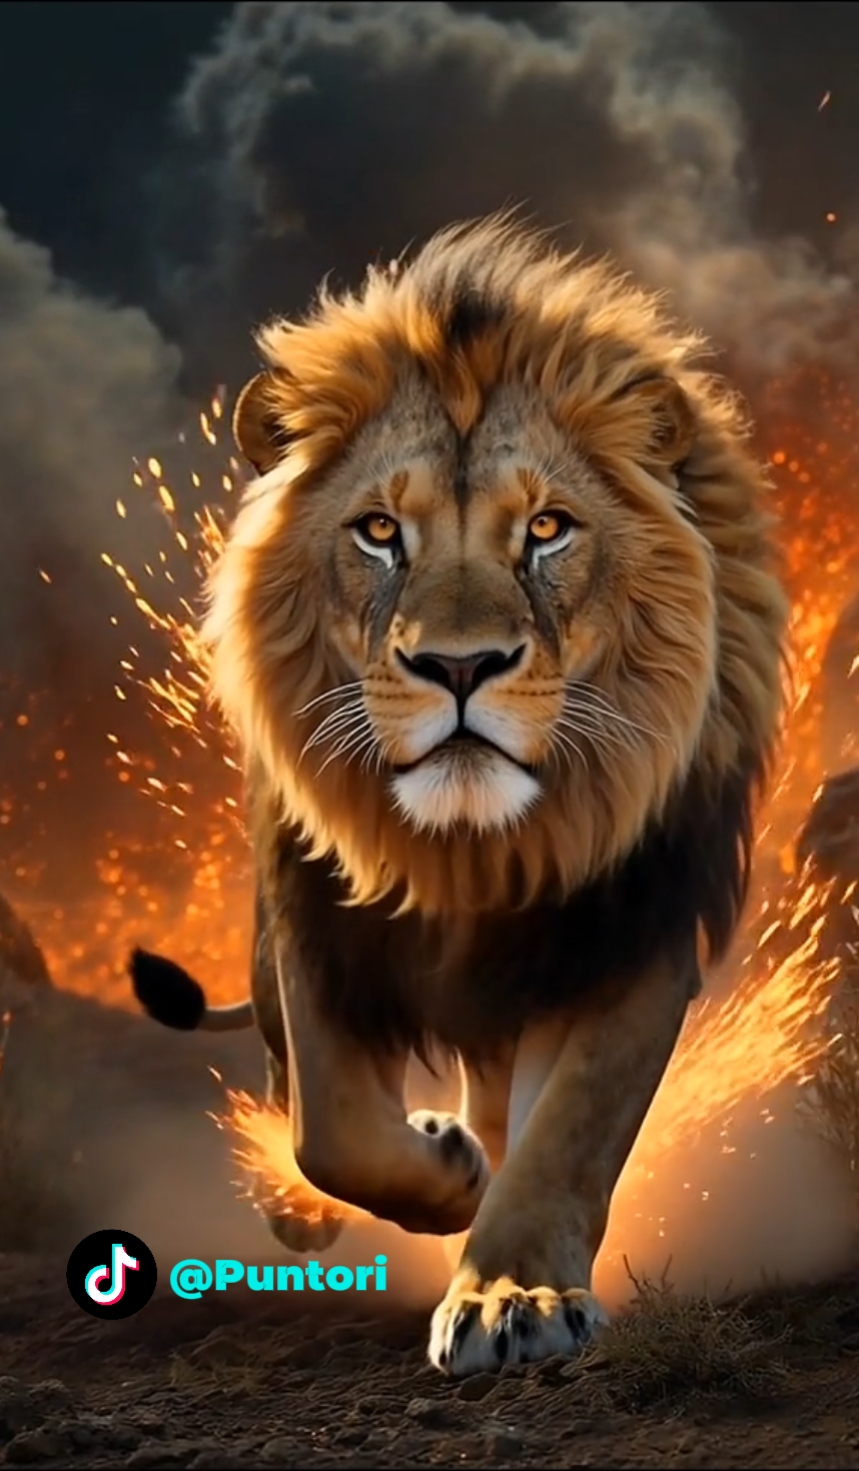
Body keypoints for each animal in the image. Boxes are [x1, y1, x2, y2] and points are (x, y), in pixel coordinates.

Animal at [129, 215, 789, 1377]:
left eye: (548, 530)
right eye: (380, 531)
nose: (460, 665)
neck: (477, 853)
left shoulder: (630, 932)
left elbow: (569, 1129)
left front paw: (511, 1291)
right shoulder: (317, 923)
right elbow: (335, 1125)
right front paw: (441, 1177)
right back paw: (318, 1204)